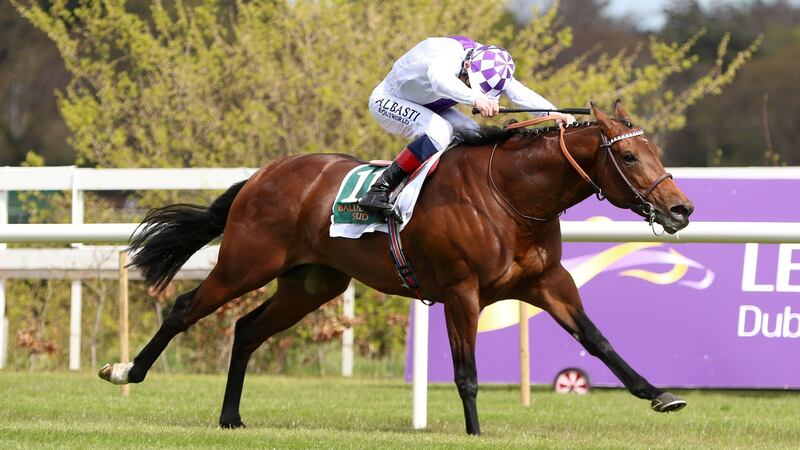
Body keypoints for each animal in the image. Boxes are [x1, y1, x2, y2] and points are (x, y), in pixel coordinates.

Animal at [100, 100, 692, 434]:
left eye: (657, 153)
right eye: (631, 157)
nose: (681, 209)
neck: (511, 197)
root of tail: (262, 175)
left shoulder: (548, 283)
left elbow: (598, 341)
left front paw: (659, 394)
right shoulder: (461, 291)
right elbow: (466, 372)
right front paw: (475, 432)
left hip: (311, 284)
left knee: (246, 330)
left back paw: (231, 418)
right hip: (245, 264)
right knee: (183, 309)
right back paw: (126, 371)